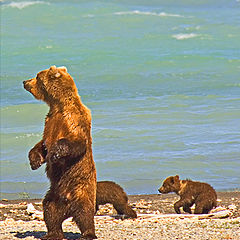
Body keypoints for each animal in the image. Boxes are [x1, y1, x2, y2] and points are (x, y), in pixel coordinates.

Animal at [23, 66, 96, 240]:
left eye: (37, 76)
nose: (25, 81)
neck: (58, 105)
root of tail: (68, 207)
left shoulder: (74, 120)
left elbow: (76, 142)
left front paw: (55, 153)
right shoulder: (50, 122)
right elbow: (42, 145)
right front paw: (34, 161)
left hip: (80, 189)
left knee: (85, 212)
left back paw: (88, 233)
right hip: (54, 195)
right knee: (51, 211)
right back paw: (52, 234)